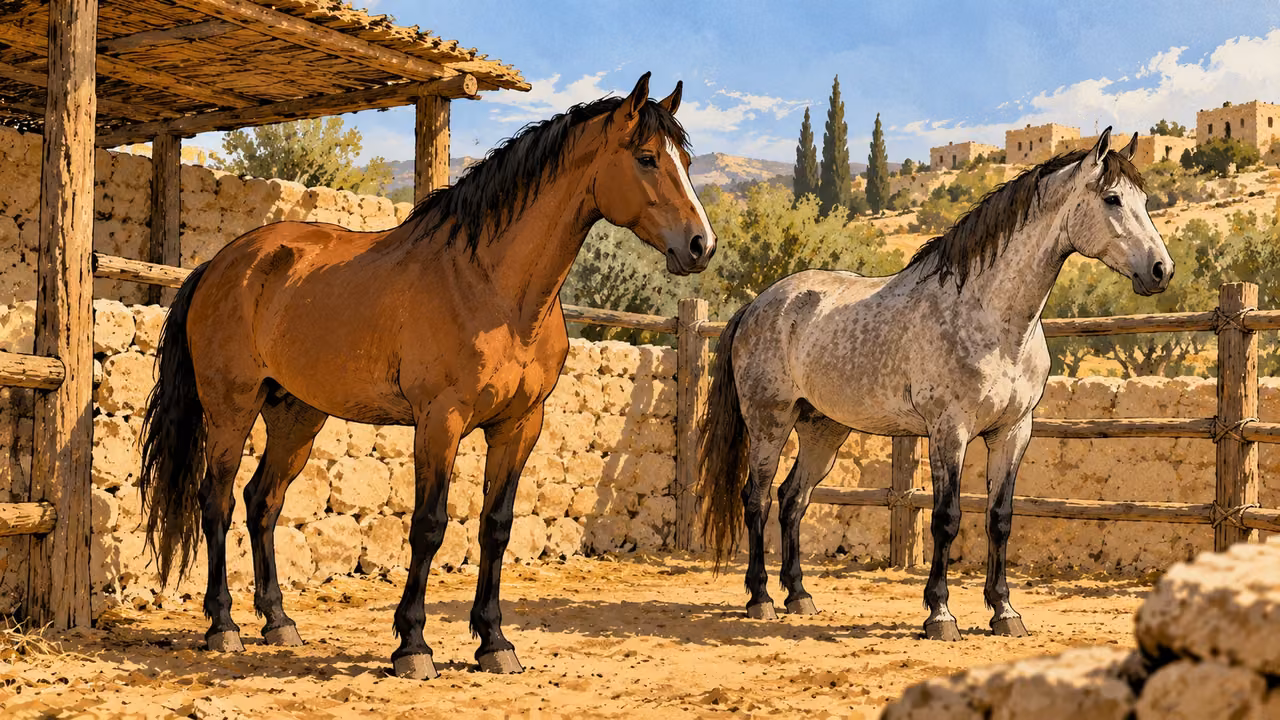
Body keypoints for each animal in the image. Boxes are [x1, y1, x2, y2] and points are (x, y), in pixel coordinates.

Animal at [138, 73, 716, 679]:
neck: (491, 284)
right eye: (647, 158)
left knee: (261, 502)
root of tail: (220, 264)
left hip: (296, 416)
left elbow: (496, 526)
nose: (700, 245)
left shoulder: (519, 426)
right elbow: (429, 525)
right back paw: (222, 626)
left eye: (686, 161)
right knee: (217, 501)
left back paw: (278, 622)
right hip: (232, 408)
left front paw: (494, 642)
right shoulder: (441, 421)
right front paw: (413, 645)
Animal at [699, 129, 1170, 639]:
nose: (1161, 270)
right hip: (769, 422)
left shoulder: (1013, 432)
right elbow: (947, 519)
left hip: (823, 430)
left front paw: (1005, 612)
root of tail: (758, 305)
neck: (991, 316)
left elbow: (1000, 519)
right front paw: (940, 614)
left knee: (792, 500)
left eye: (1145, 200)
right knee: (757, 499)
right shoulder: (949, 430)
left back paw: (799, 596)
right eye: (1112, 198)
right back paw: (761, 599)